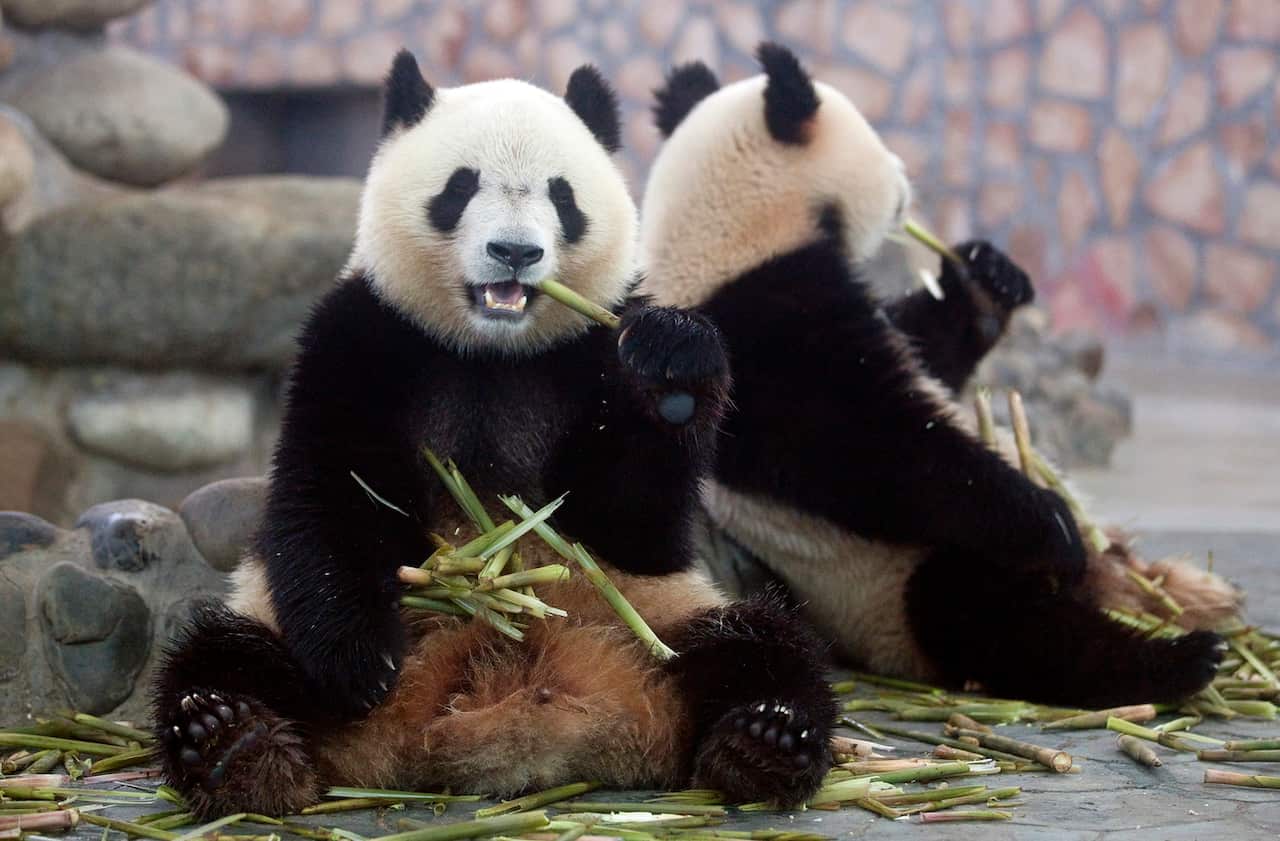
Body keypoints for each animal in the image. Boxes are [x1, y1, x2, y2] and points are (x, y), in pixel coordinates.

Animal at [150, 51, 836, 818]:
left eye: (562, 196)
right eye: (460, 186)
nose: (514, 251)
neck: (492, 351)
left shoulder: (589, 351)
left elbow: (636, 524)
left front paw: (674, 366)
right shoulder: (360, 337)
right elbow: (324, 495)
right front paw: (359, 663)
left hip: (657, 617)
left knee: (762, 648)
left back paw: (764, 742)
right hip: (272, 619)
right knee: (222, 655)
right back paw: (233, 743)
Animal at [637, 43, 1225, 709]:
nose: (904, 180)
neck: (728, 232)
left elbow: (924, 349)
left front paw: (988, 279)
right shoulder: (760, 339)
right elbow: (879, 450)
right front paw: (1048, 520)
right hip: (896, 588)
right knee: (992, 619)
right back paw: (1172, 659)